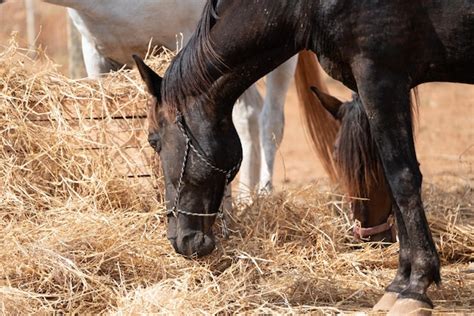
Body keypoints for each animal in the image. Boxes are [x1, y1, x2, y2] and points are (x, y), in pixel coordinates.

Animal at [134, 0, 474, 314]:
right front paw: (399, 283)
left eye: (153, 141)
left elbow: (402, 178)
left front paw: (415, 287)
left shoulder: (380, 76)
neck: (306, 7)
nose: (180, 239)